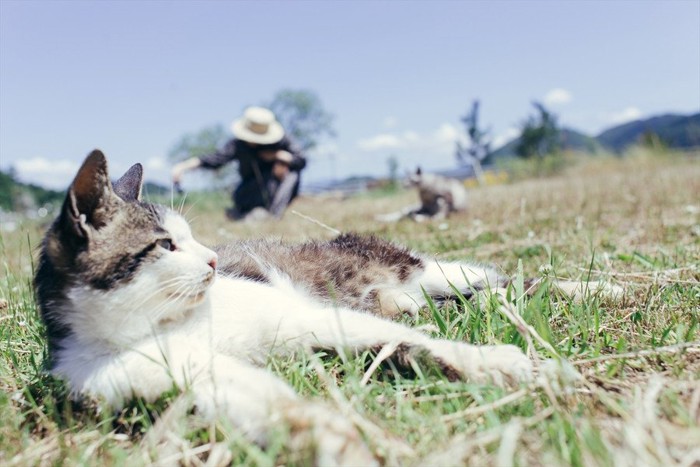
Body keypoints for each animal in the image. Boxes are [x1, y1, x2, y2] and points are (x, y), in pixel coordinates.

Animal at [31, 152, 612, 466]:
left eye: (191, 237)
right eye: (165, 245)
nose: (216, 258)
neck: (169, 321)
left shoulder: (302, 315)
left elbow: (418, 344)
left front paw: (500, 363)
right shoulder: (166, 376)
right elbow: (267, 401)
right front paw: (326, 438)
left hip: (422, 268)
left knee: (509, 280)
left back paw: (599, 289)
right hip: (410, 291)